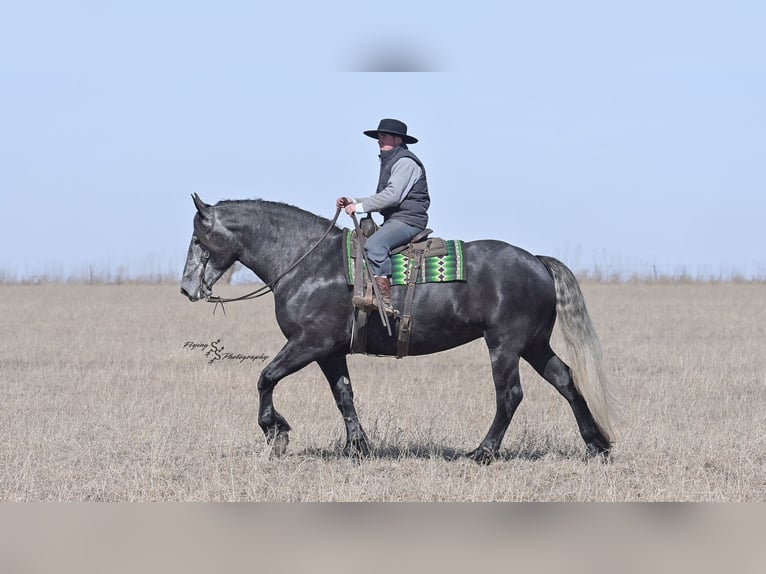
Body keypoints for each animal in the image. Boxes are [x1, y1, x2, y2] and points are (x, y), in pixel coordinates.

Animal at [180, 194, 615, 463]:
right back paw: (597, 445)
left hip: (505, 346)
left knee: (509, 395)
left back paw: (483, 453)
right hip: (534, 345)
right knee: (566, 381)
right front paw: (357, 448)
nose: (186, 288)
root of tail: (537, 261)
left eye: (198, 238)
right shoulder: (330, 351)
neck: (309, 263)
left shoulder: (309, 343)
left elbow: (265, 377)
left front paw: (277, 432)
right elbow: (344, 396)